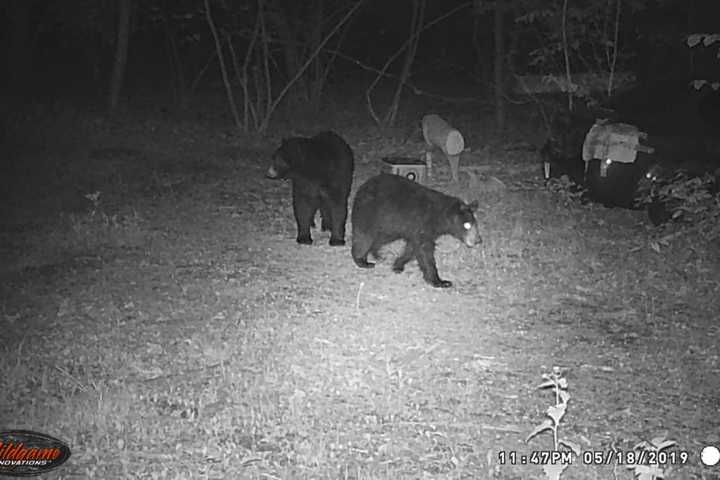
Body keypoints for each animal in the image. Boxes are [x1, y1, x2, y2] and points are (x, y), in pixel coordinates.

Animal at [351, 173, 481, 288]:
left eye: (475, 223)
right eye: (467, 225)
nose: (478, 240)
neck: (439, 215)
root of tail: (364, 186)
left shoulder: (416, 230)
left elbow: (412, 248)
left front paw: (398, 265)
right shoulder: (422, 224)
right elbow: (424, 251)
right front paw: (440, 281)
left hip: (389, 225)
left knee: (381, 237)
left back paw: (376, 254)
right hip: (371, 213)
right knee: (365, 237)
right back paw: (362, 261)